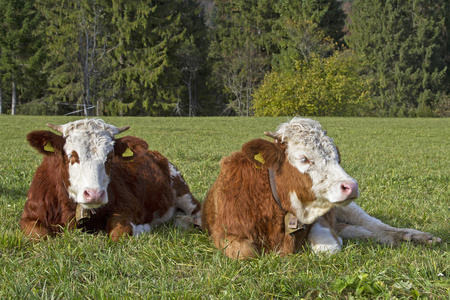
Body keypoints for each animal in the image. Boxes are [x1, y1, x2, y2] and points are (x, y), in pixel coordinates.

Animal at [21, 118, 200, 240]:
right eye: (72, 155)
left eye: (110, 156)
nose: (94, 194)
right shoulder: (29, 215)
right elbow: (39, 235)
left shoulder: (129, 206)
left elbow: (119, 233)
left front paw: (142, 228)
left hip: (182, 191)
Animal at [202, 117, 442, 258]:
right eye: (303, 158)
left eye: (337, 157)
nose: (351, 186)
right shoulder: (225, 232)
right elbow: (246, 252)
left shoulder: (319, 219)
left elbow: (327, 247)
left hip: (349, 208)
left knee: (377, 226)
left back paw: (417, 237)